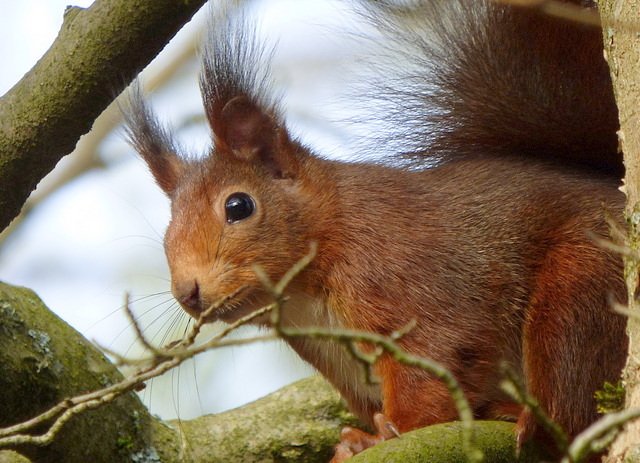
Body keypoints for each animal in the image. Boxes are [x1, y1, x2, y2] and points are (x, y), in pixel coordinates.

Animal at [124, 0, 628, 460]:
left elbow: (436, 364)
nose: (187, 293)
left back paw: (535, 424)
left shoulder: (403, 277)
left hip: (583, 285)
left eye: (238, 206)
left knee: (571, 382)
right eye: (167, 229)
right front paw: (354, 444)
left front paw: (388, 434)